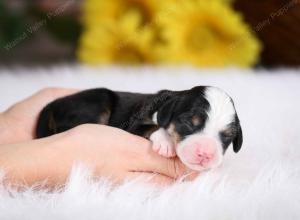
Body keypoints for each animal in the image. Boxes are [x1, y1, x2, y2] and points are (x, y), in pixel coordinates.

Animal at [36, 87, 243, 171]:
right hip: (97, 101)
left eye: (227, 136)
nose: (206, 154)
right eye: (189, 123)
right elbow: (153, 126)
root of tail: (52, 104)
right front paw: (166, 142)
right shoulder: (133, 124)